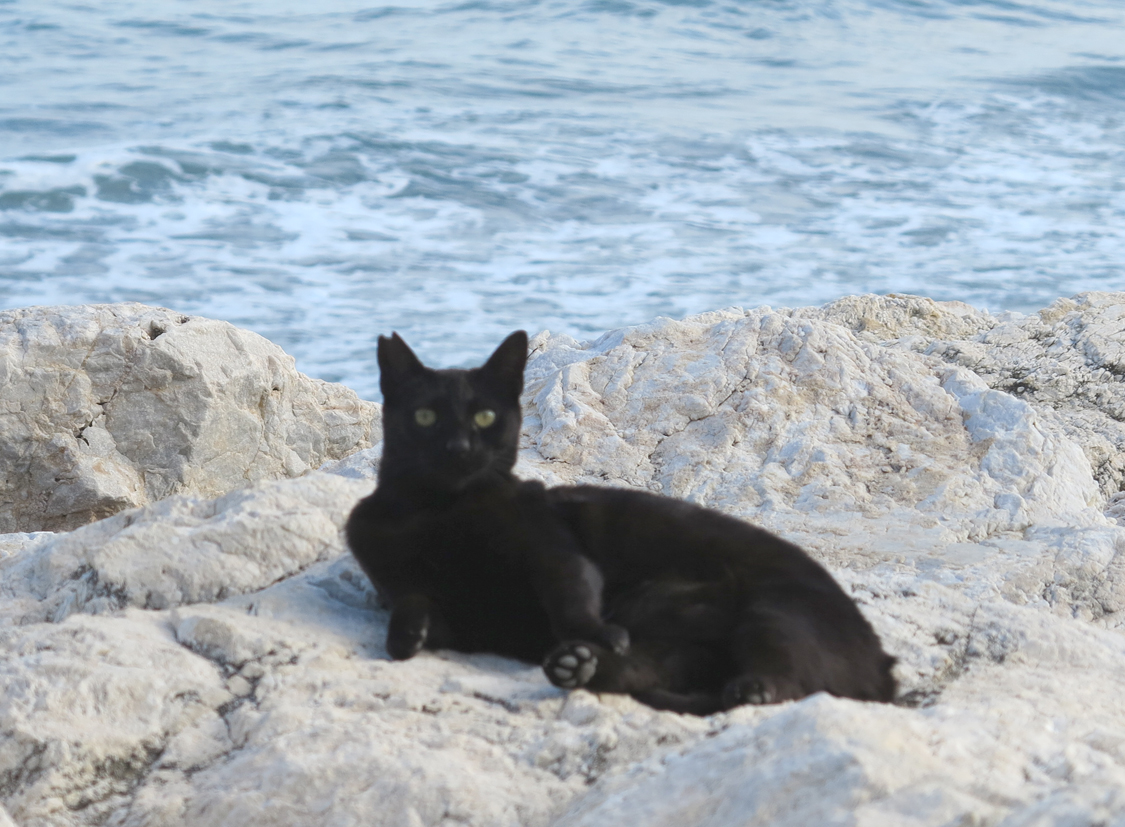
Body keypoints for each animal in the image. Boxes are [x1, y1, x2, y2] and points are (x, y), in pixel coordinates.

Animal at [344, 330, 895, 711]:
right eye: (425, 417)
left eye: (484, 418)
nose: (458, 448)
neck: (437, 512)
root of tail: (884, 666)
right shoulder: (446, 613)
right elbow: (413, 603)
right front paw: (404, 637)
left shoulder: (553, 549)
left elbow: (571, 595)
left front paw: (595, 632)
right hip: (678, 647)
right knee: (646, 676)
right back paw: (575, 667)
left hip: (774, 613)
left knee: (782, 683)